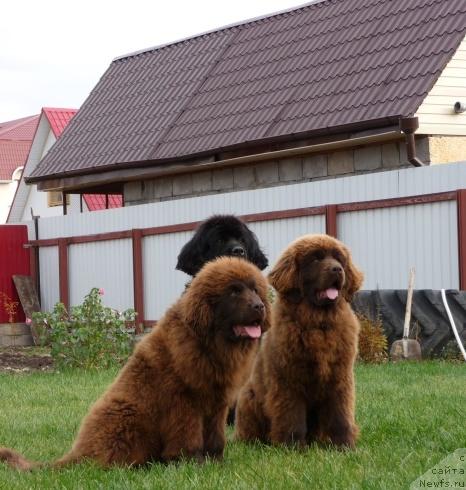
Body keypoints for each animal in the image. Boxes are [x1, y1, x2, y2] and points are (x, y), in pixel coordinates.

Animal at [0, 256, 270, 470]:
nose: (259, 306)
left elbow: (216, 437)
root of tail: (79, 453)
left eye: (255, 290)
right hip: (129, 417)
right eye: (234, 291)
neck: (209, 342)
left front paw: (216, 462)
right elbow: (188, 437)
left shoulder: (217, 402)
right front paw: (192, 463)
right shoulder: (185, 402)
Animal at [235, 235, 362, 450]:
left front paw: (343, 446)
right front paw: (292, 446)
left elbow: (340, 414)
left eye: (339, 259)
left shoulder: (340, 377)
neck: (319, 324)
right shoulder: (288, 380)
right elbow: (292, 416)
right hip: (250, 399)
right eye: (316, 259)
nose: (337, 269)